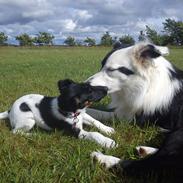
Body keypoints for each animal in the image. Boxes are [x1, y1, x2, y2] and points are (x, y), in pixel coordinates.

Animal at [87, 41, 183, 179]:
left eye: (111, 70)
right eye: (101, 66)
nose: (84, 85)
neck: (146, 86)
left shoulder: (134, 119)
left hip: (179, 134)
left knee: (145, 165)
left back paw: (104, 159)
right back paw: (145, 150)